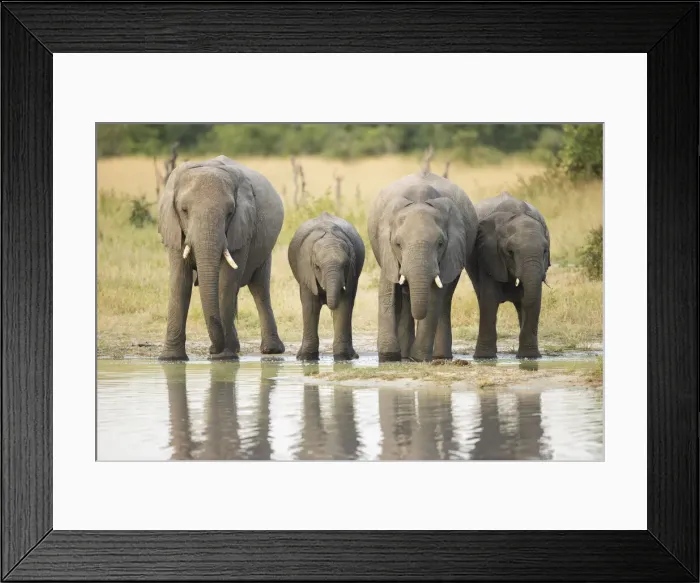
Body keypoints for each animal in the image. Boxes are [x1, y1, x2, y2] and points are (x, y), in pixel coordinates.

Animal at [157, 155, 285, 361]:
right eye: (184, 210)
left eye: (230, 213)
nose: (212, 350)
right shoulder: (174, 229)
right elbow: (180, 282)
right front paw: (170, 358)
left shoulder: (241, 229)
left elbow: (226, 281)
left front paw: (223, 356)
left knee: (259, 288)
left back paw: (269, 350)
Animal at [288, 212, 365, 361]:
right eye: (317, 267)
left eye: (345, 266)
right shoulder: (306, 271)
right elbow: (310, 305)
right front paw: (306, 358)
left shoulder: (351, 274)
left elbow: (344, 305)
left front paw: (342, 357)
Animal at [368, 171, 478, 362]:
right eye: (398, 244)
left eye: (440, 244)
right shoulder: (386, 249)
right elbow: (388, 290)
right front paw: (388, 357)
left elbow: (435, 297)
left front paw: (418, 358)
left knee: (445, 299)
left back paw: (439, 357)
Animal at [466, 191, 551, 359]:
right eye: (510, 252)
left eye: (545, 251)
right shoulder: (489, 255)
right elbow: (489, 299)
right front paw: (484, 357)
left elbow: (534, 299)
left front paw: (529, 357)